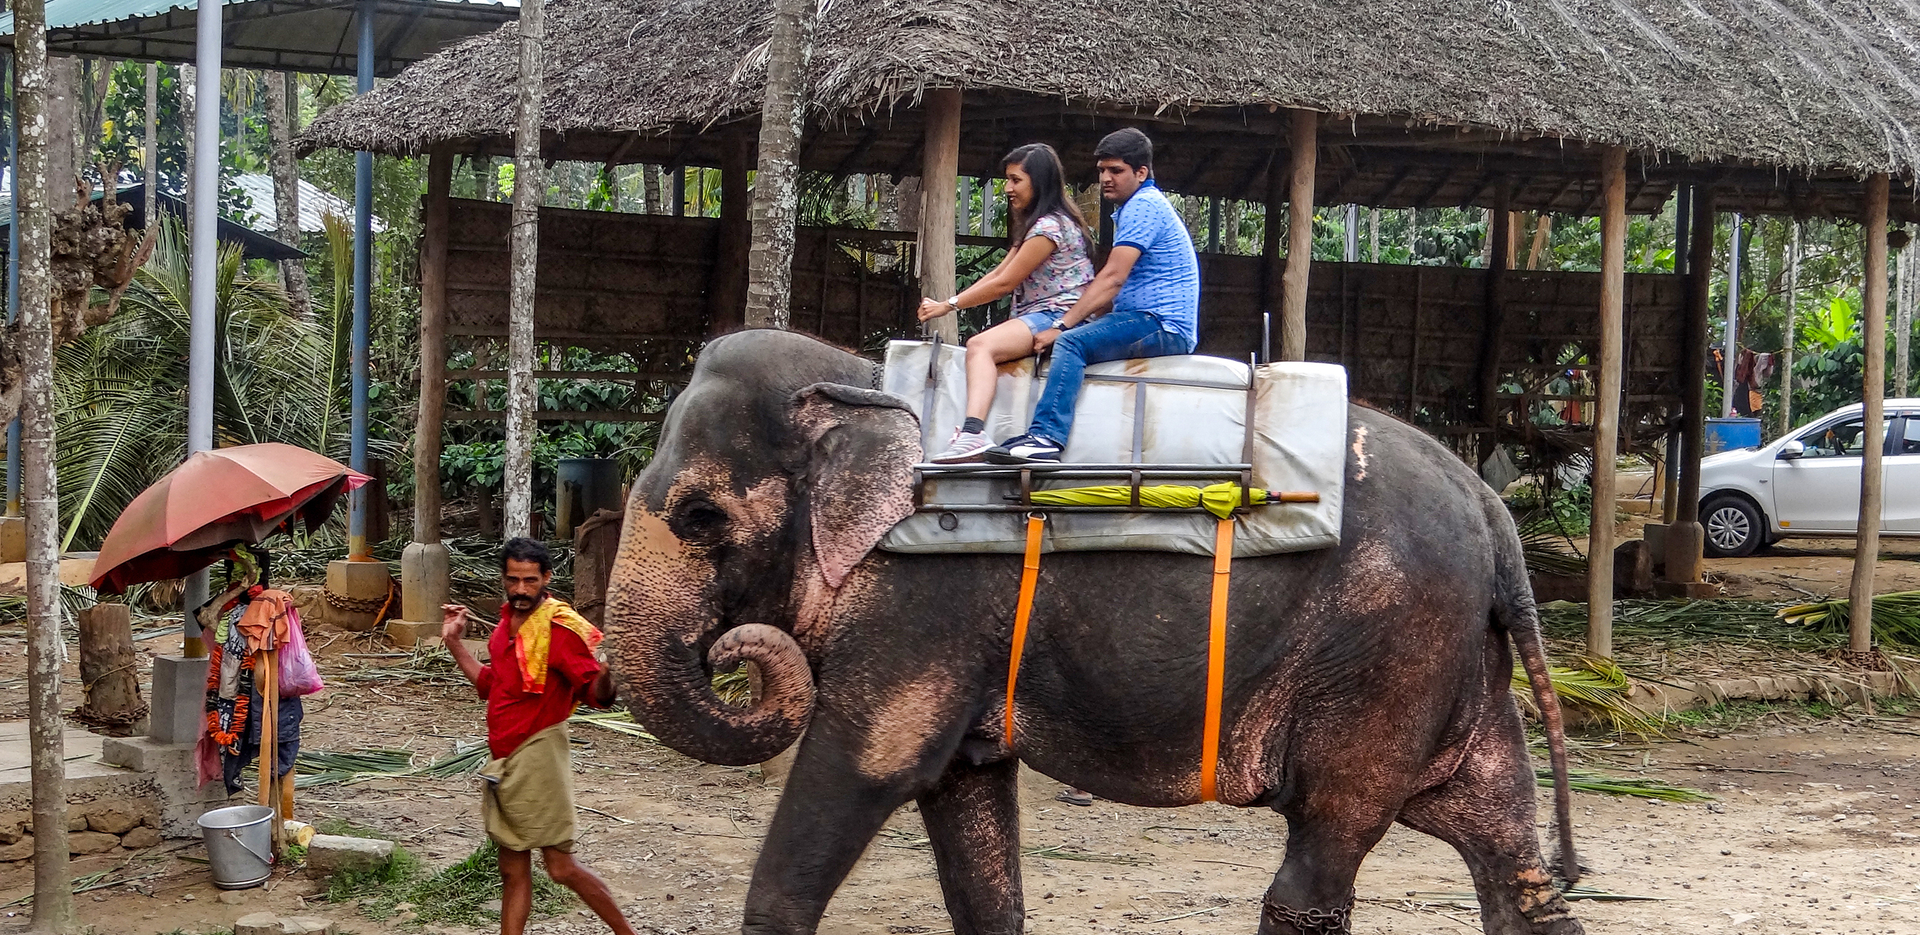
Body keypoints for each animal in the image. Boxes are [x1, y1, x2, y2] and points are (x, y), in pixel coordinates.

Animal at [604, 329, 1584, 935]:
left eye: (698, 517)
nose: (730, 647)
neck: (863, 384)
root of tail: (1492, 510)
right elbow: (965, 800)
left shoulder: (924, 599)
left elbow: (869, 765)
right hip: (1458, 665)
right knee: (1507, 852)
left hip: (1384, 659)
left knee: (1323, 851)